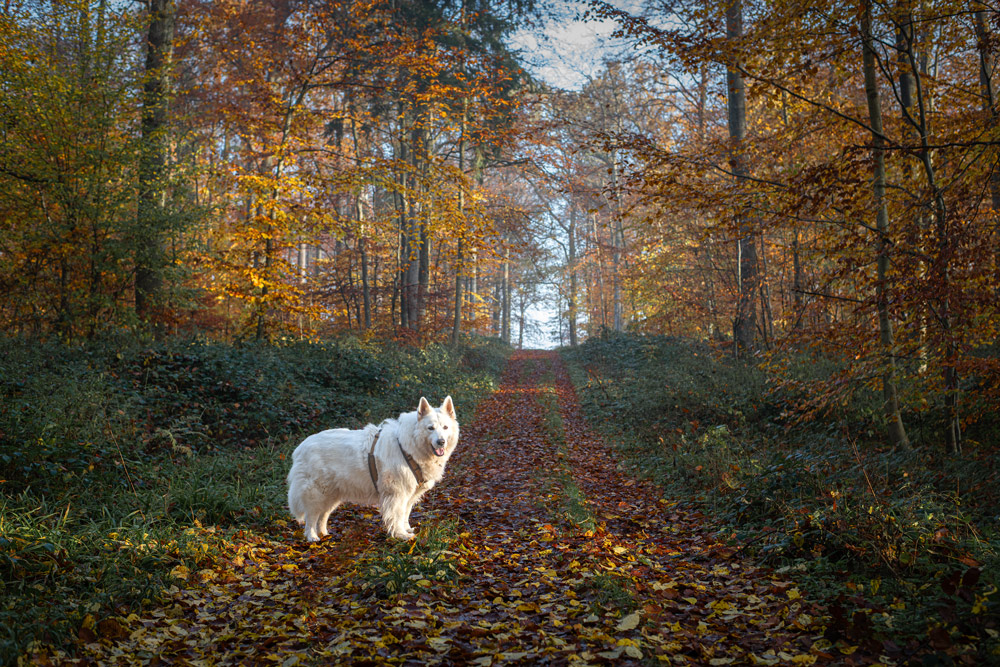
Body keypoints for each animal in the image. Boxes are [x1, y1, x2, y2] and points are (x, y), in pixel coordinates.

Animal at [288, 396, 458, 544]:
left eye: (445, 427)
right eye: (430, 428)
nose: (441, 442)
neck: (408, 446)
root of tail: (300, 447)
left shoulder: (409, 494)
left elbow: (405, 513)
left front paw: (406, 529)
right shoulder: (396, 492)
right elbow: (397, 515)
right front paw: (400, 534)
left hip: (332, 495)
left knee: (322, 515)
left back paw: (324, 533)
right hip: (317, 493)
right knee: (311, 516)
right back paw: (312, 536)